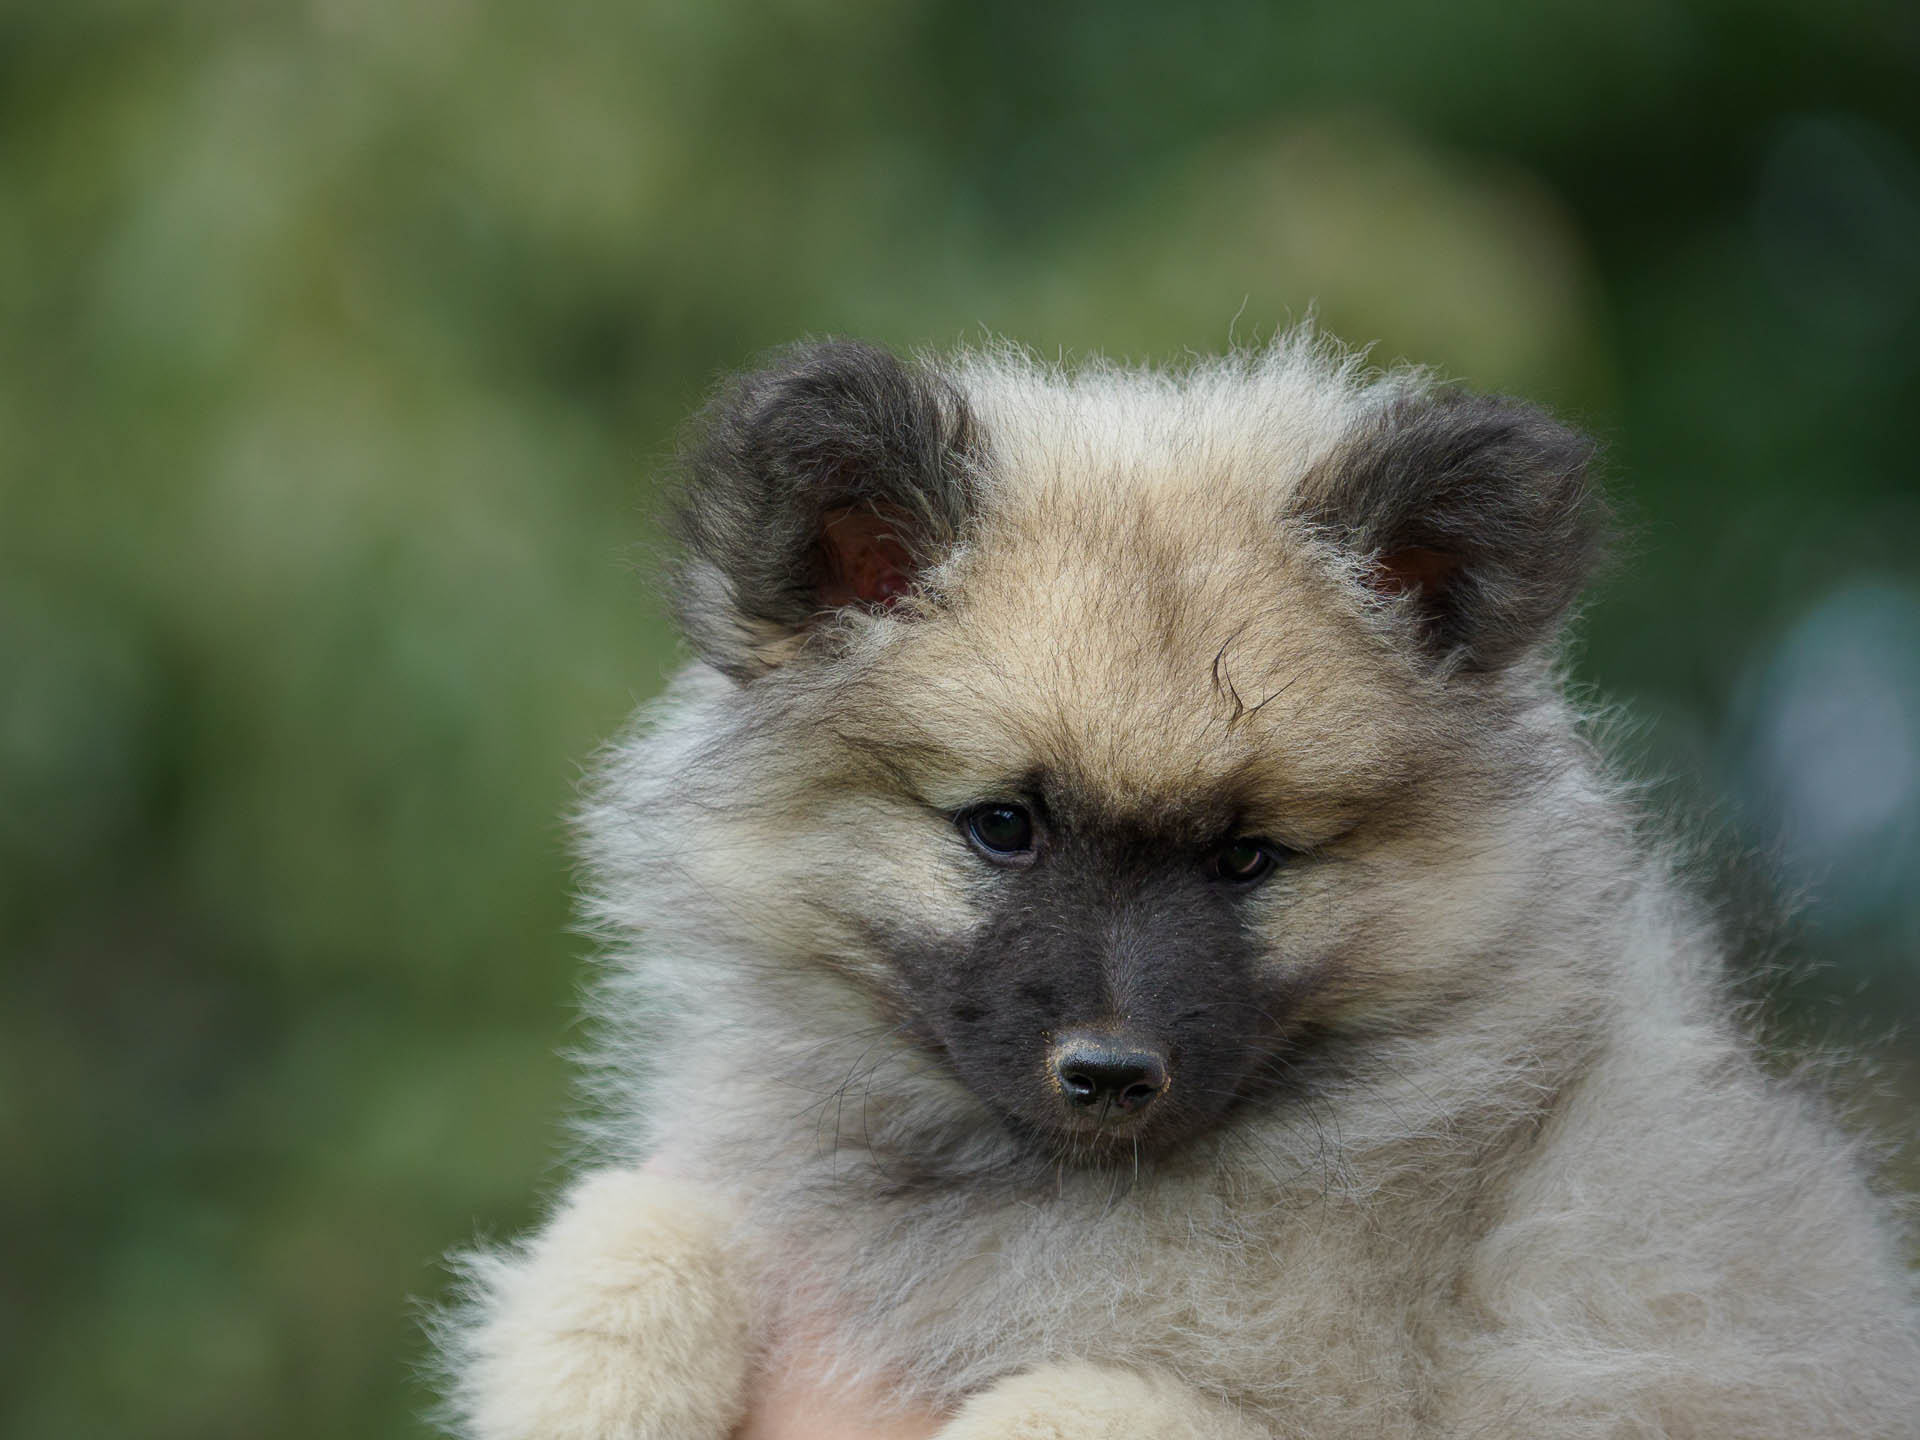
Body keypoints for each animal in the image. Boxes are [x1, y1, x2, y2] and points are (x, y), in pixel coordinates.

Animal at [439, 336, 1920, 1440]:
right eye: (1004, 828)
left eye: (1247, 856)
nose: (1110, 1073)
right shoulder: (725, 1201)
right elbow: (634, 1227)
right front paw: (593, 1382)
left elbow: (1067, 1400)